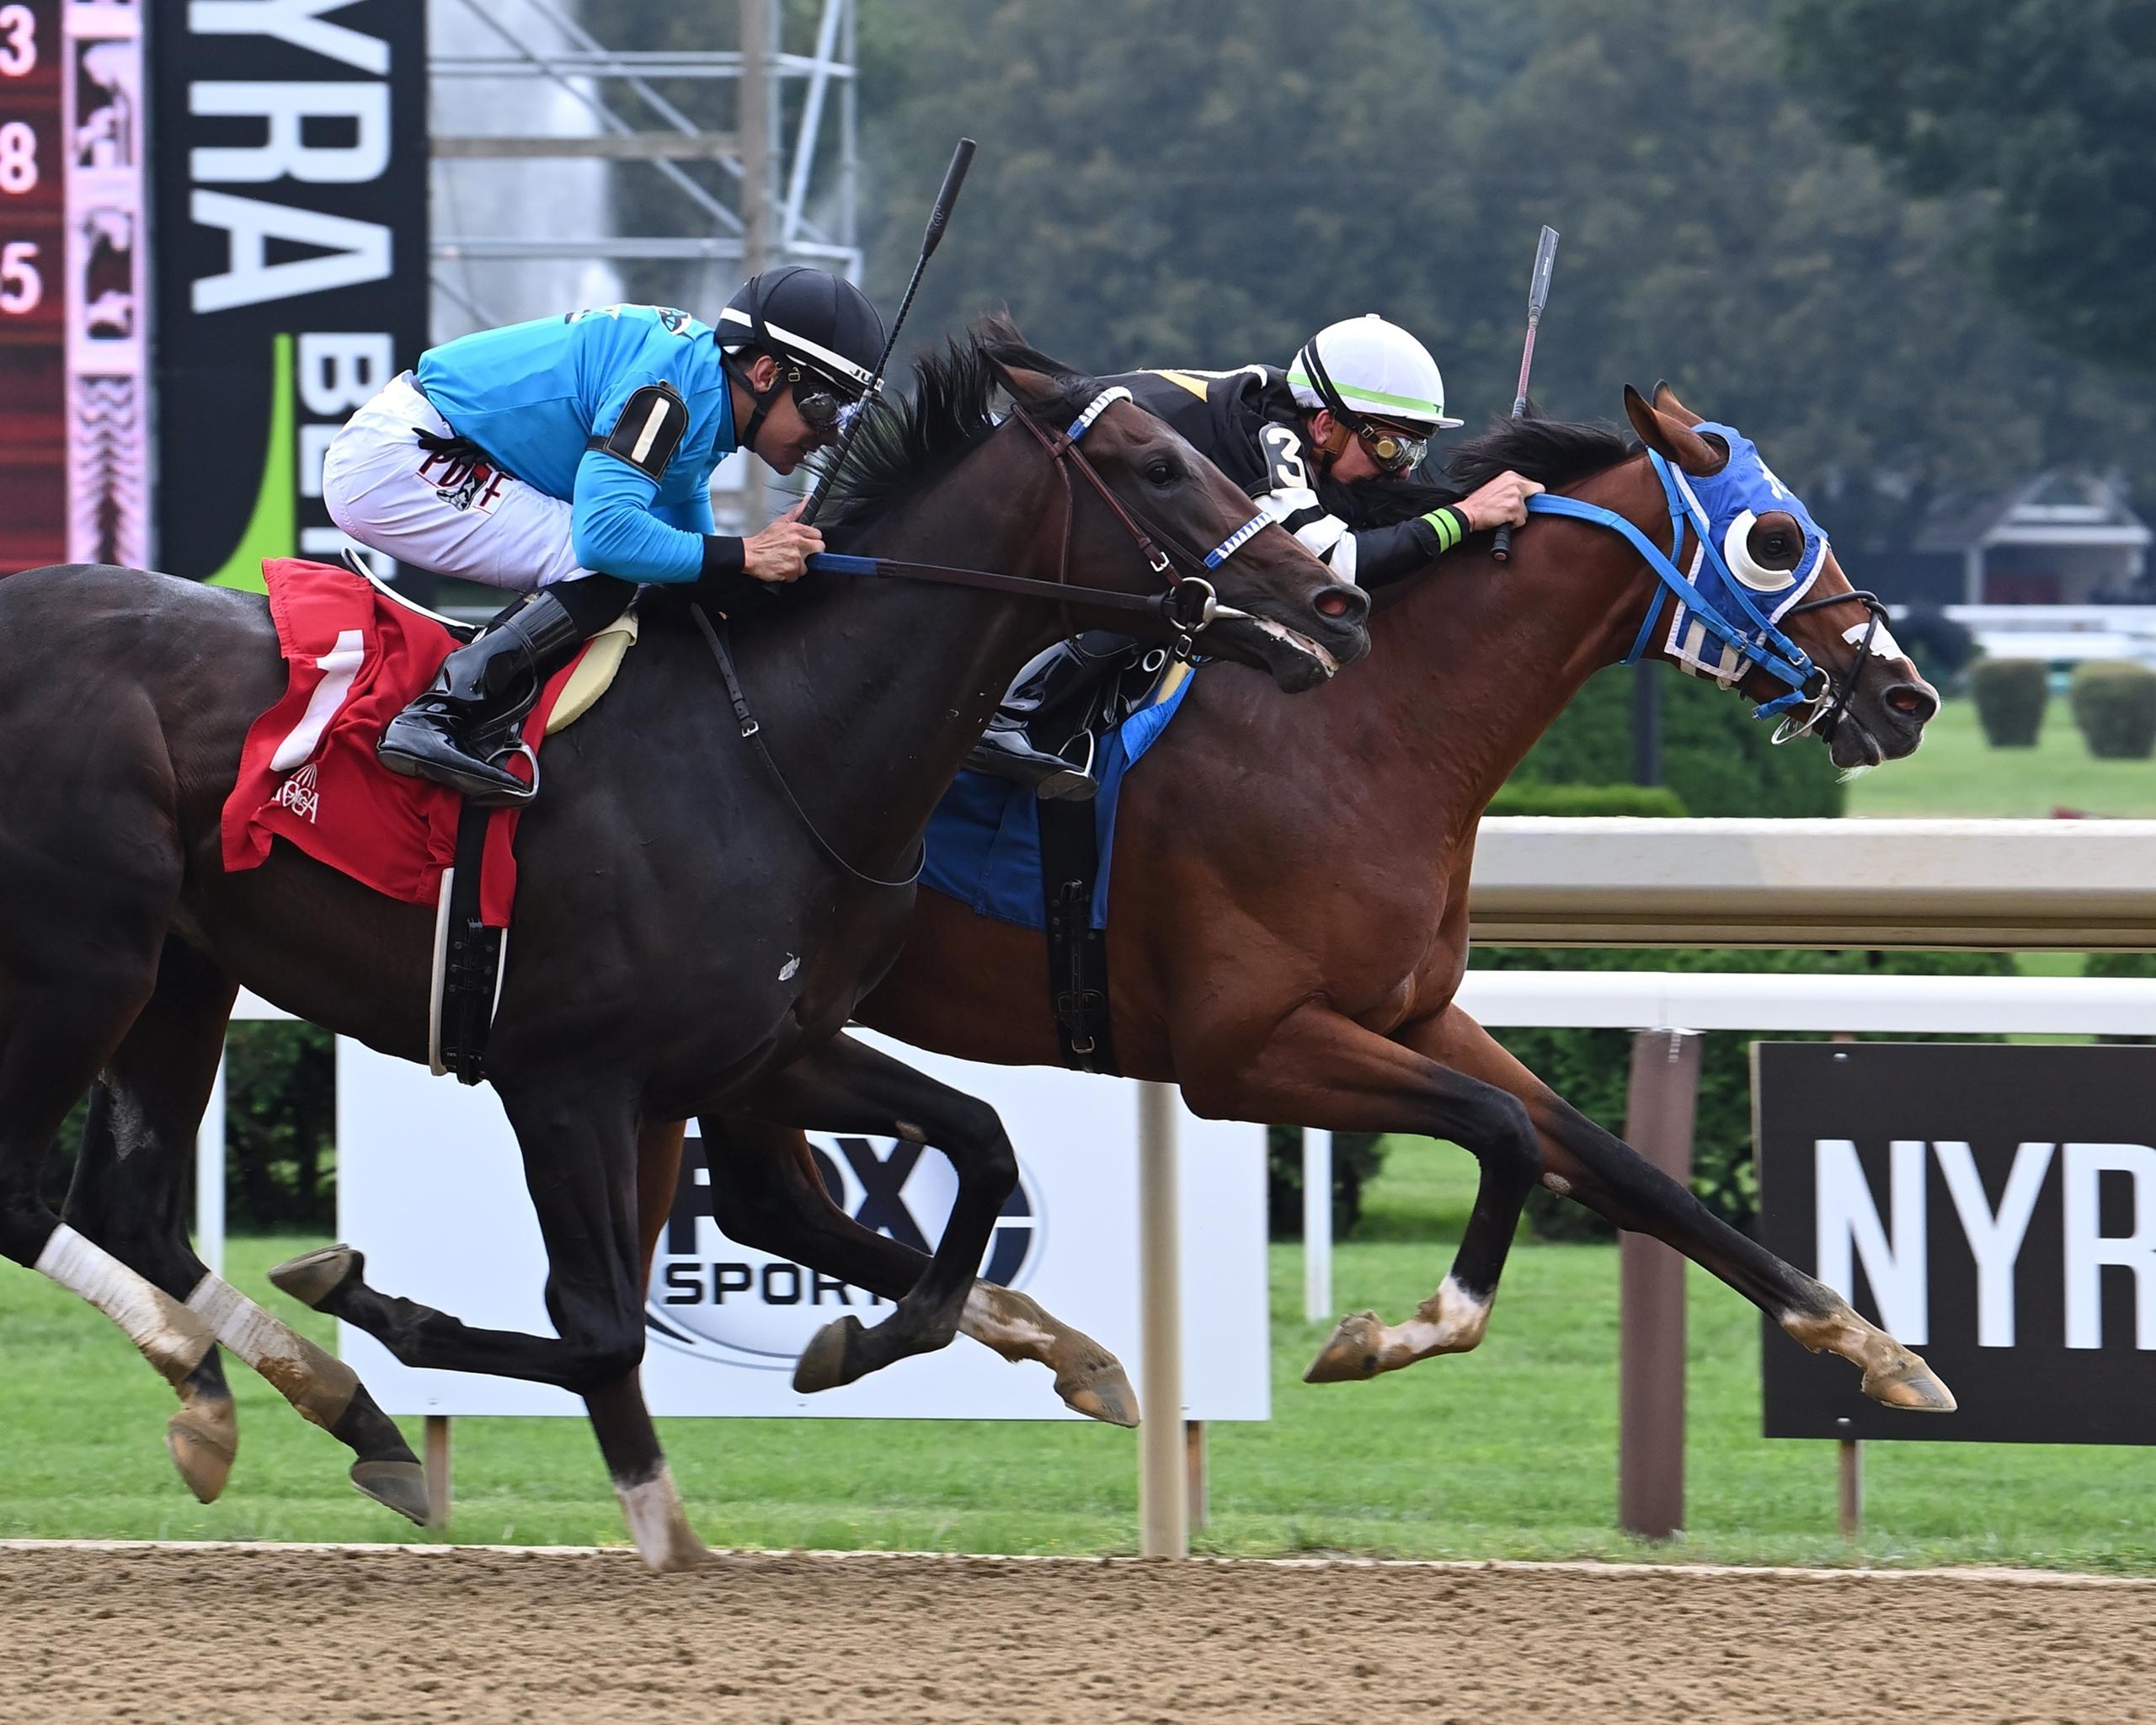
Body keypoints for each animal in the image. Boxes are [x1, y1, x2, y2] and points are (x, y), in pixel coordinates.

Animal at [0, 323, 1369, 1568]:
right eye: (1159, 467)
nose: (1336, 602)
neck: (778, 747)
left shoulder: (767, 1047)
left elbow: (975, 1148)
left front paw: (885, 1344)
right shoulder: (564, 1078)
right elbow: (602, 1324)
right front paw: (385, 1312)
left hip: (183, 969)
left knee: (128, 1208)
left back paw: (288, 1405)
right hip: (81, 961)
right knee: (25, 1198)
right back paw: (254, 1380)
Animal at [633, 381, 1956, 1430]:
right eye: (1775, 536)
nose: (1908, 697)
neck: (1363, 735)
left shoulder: (1414, 1015)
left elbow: (1619, 1165)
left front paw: (1871, 1343)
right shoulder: (1246, 1048)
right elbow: (1505, 1134)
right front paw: (1392, 1333)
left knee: (762, 1200)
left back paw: (1043, 1346)